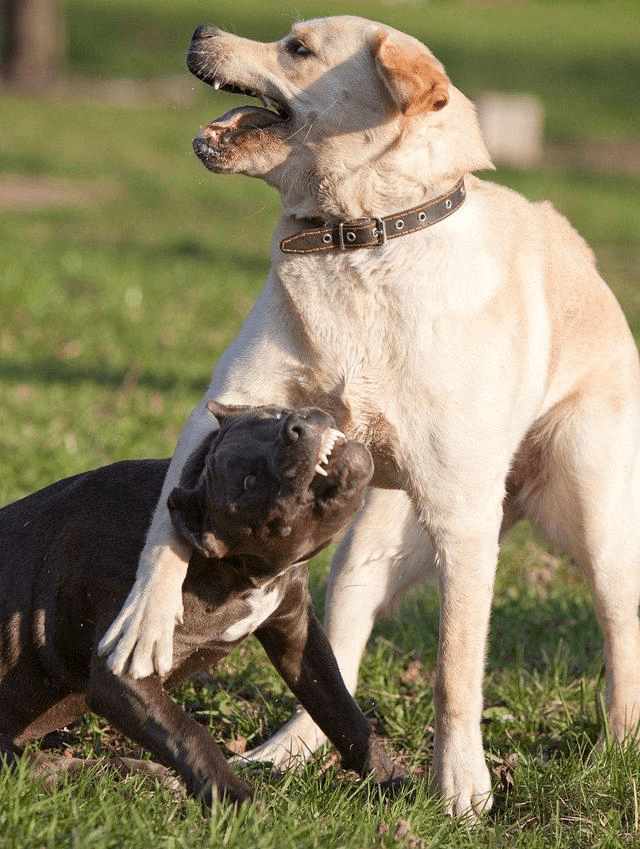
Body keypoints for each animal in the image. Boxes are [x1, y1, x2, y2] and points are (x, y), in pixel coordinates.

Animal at [0, 402, 404, 800]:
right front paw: (234, 797)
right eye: (249, 482)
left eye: (271, 416)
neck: (231, 571)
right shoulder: (122, 670)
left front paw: (393, 782)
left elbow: (342, 712)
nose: (296, 427)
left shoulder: (298, 637)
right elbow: (188, 734)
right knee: (44, 768)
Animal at [99, 18, 640, 816]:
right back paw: (287, 749)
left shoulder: (461, 522)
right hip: (368, 548)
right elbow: (166, 531)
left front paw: (462, 788)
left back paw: (617, 748)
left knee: (619, 632)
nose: (200, 29)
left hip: (595, 527)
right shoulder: (214, 417)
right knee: (339, 656)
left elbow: (455, 672)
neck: (358, 239)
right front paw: (146, 617)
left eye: (297, 49)